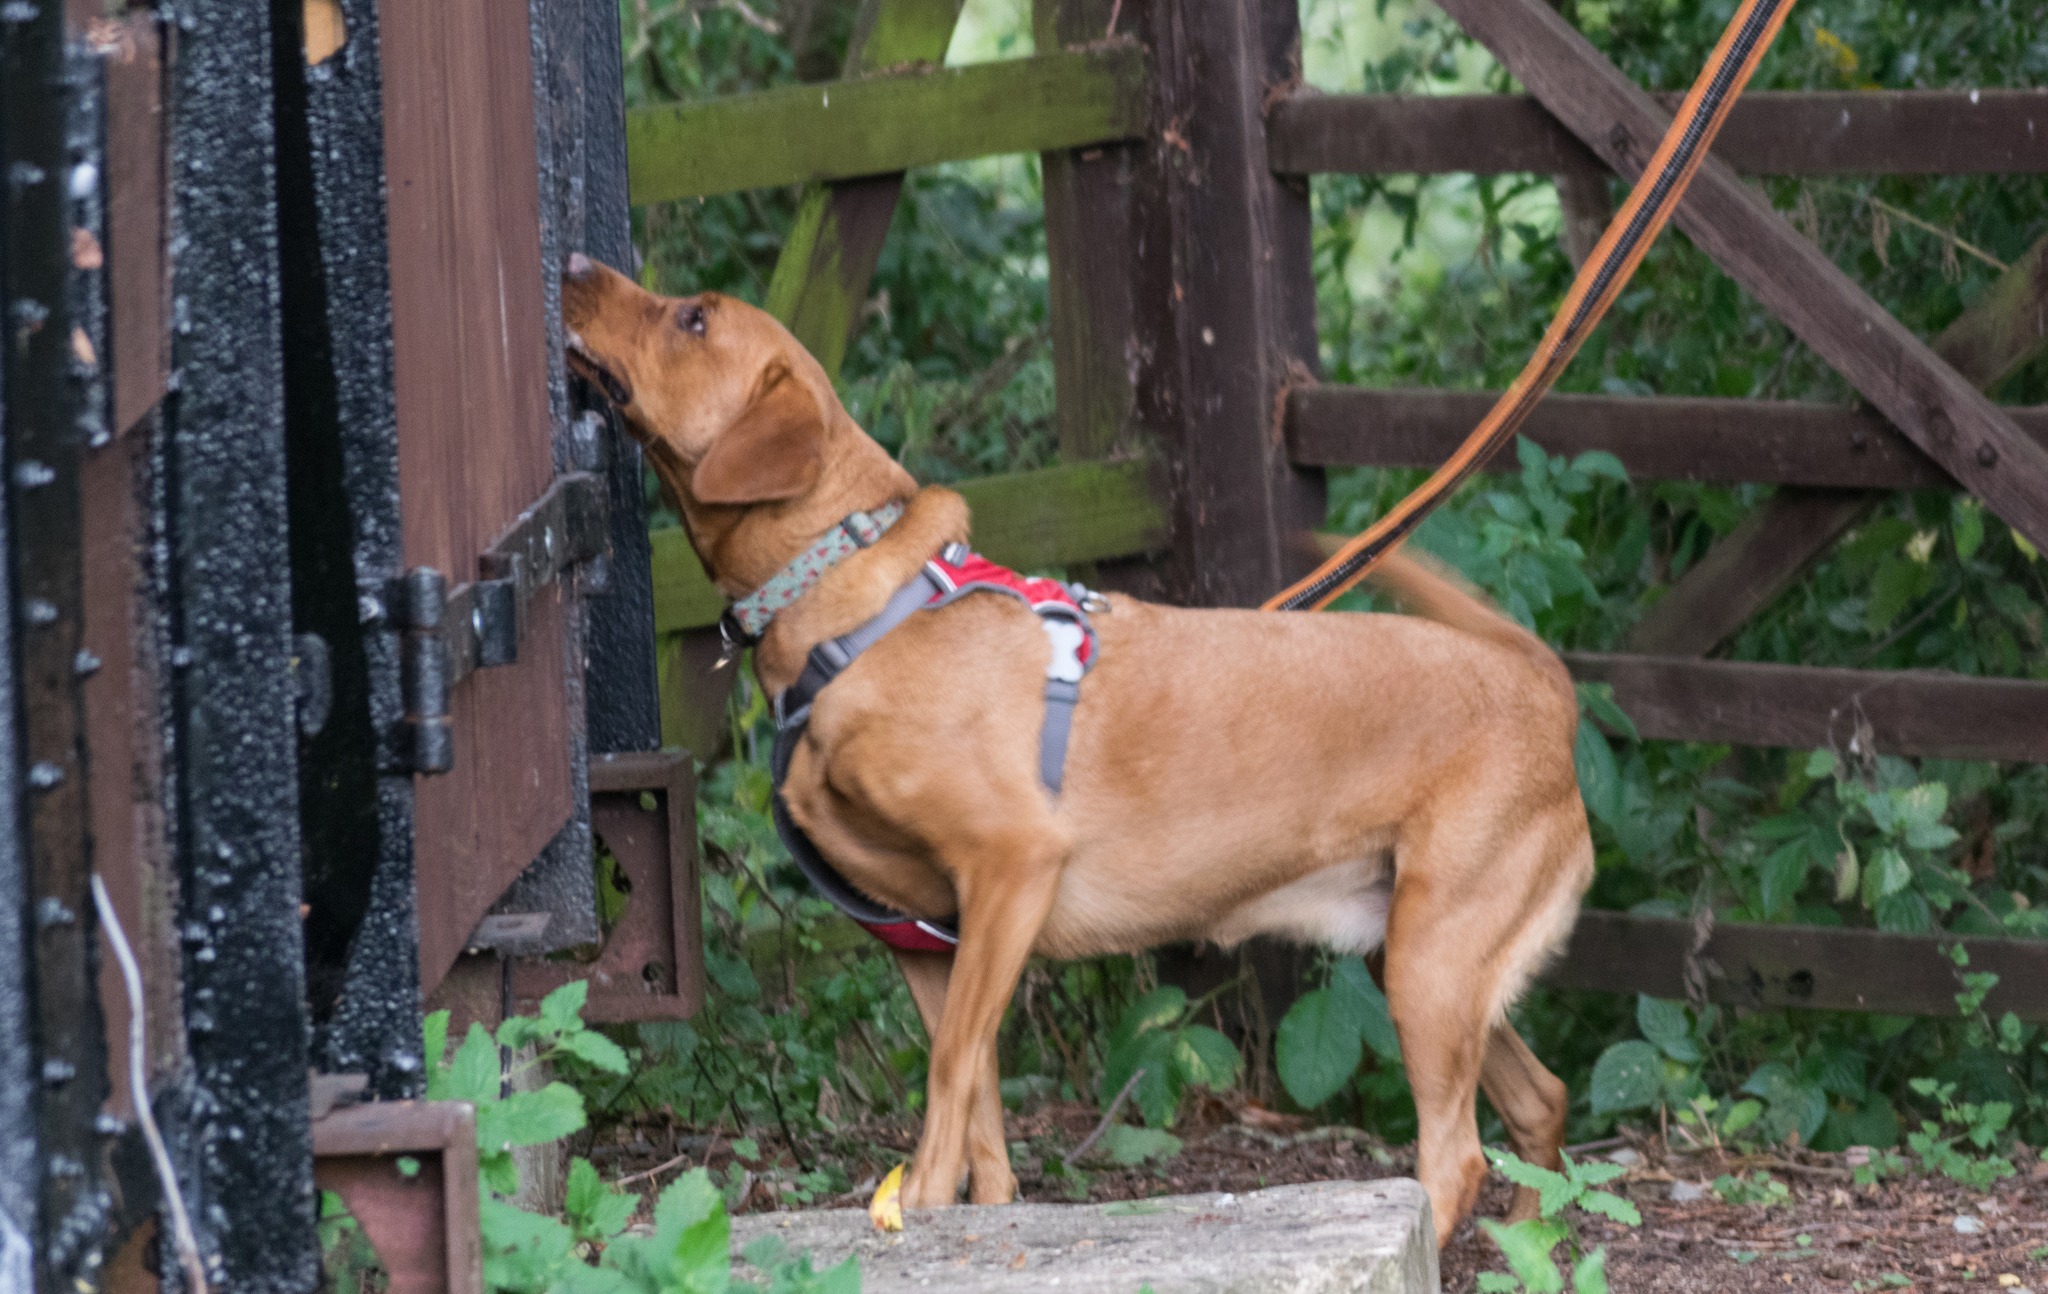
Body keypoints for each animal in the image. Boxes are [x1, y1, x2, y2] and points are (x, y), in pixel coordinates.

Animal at [565, 254, 1597, 1244]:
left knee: (1456, 1158)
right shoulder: (931, 942)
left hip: (1431, 967)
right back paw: (1526, 1248)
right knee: (1541, 1103)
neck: (858, 609)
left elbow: (949, 1078)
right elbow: (977, 1102)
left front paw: (916, 1211)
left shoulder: (1011, 870)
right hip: (1417, 963)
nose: (572, 263)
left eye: (695, 318)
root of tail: (1542, 688)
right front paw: (976, 1216)